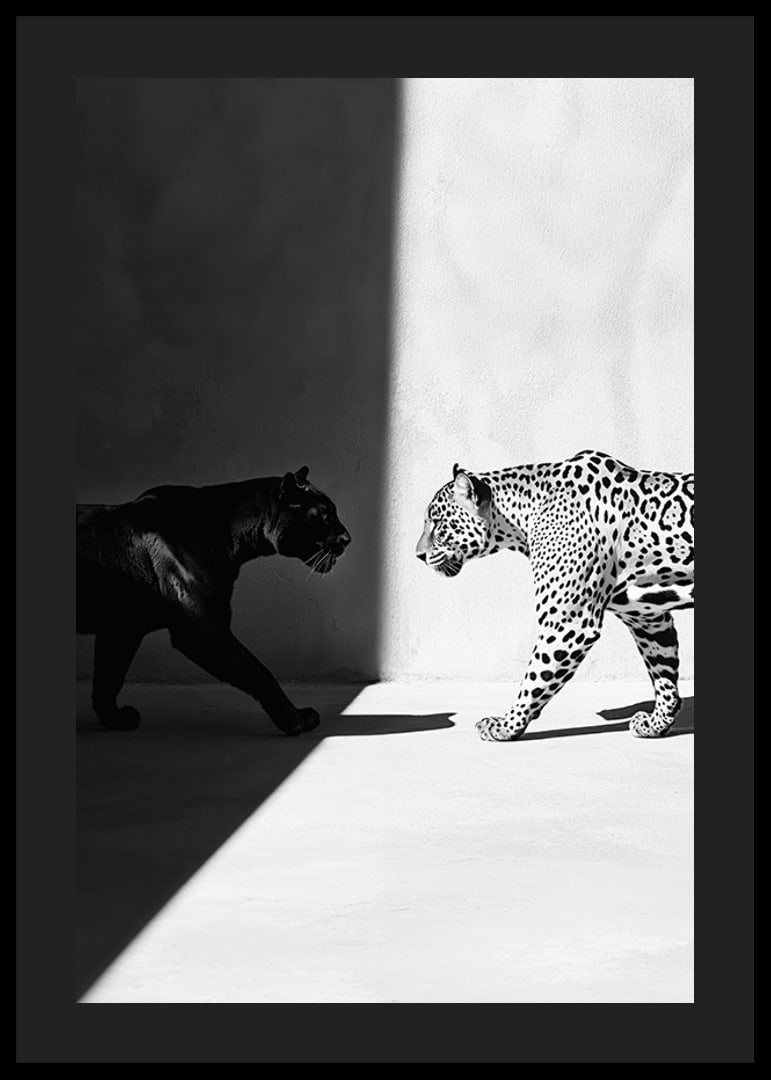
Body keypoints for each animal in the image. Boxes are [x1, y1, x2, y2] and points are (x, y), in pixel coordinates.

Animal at [416, 450, 693, 741]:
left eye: (437, 523)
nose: (419, 555)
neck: (521, 517)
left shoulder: (568, 624)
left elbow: (535, 678)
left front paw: (507, 725)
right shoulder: (646, 617)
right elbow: (663, 672)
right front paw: (657, 723)